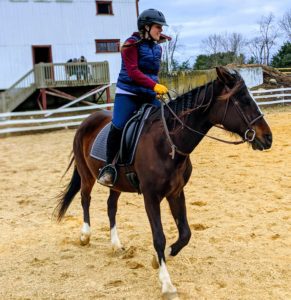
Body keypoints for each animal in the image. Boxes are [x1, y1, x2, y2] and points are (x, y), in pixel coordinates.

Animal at [54, 67, 274, 298]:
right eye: (243, 101)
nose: (268, 138)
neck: (168, 143)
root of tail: (88, 119)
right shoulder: (151, 197)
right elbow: (159, 237)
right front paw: (167, 284)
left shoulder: (176, 192)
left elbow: (185, 233)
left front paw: (160, 258)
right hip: (86, 174)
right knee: (85, 199)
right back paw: (85, 236)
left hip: (117, 184)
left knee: (111, 206)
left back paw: (116, 244)